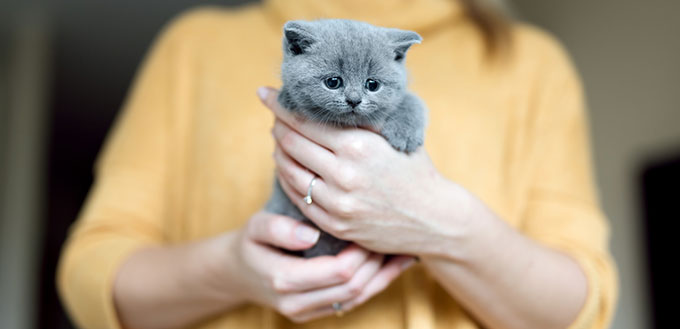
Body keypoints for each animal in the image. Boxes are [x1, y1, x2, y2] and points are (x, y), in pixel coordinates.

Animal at [266, 19, 424, 258]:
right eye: (333, 82)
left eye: (372, 84)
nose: (354, 100)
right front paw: (287, 98)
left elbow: (412, 101)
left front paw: (405, 134)